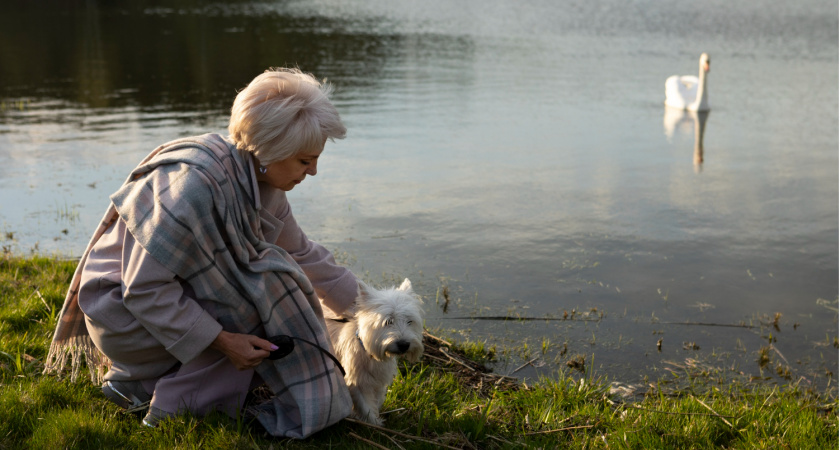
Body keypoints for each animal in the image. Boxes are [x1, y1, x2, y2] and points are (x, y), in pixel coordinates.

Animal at [324, 278, 424, 426]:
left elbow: (376, 401)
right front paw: (374, 425)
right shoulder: (356, 381)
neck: (369, 353)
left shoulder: (378, 380)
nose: (404, 344)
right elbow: (366, 407)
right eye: (388, 321)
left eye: (409, 321)